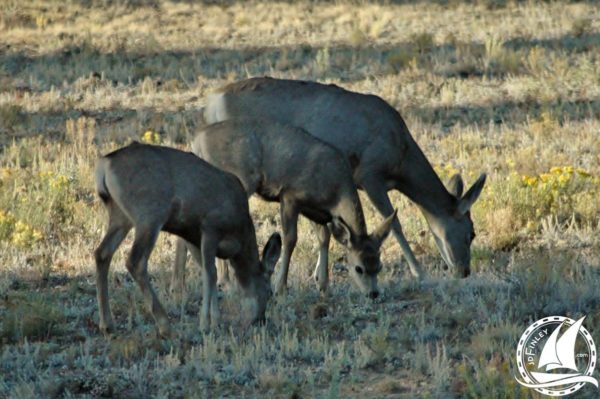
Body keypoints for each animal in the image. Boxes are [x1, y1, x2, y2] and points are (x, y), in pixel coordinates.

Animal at [94, 142, 282, 336]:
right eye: (269, 292)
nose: (260, 320)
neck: (240, 234)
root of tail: (105, 164)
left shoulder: (192, 236)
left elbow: (209, 272)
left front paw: (215, 321)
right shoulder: (210, 226)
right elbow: (210, 273)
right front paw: (206, 324)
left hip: (120, 216)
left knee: (102, 253)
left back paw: (107, 324)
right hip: (149, 214)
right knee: (135, 261)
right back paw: (165, 325)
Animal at [173, 119, 396, 300]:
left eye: (379, 266)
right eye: (359, 268)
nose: (373, 294)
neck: (335, 189)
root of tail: (197, 140)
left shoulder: (316, 211)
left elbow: (324, 237)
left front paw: (323, 285)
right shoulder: (290, 195)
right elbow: (290, 239)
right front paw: (281, 288)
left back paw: (179, 286)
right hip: (238, 178)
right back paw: (225, 283)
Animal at [203, 76, 488, 280]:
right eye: (471, 233)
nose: (464, 271)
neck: (401, 157)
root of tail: (212, 102)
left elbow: (326, 230)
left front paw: (319, 277)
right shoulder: (370, 174)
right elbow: (394, 223)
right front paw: (419, 272)